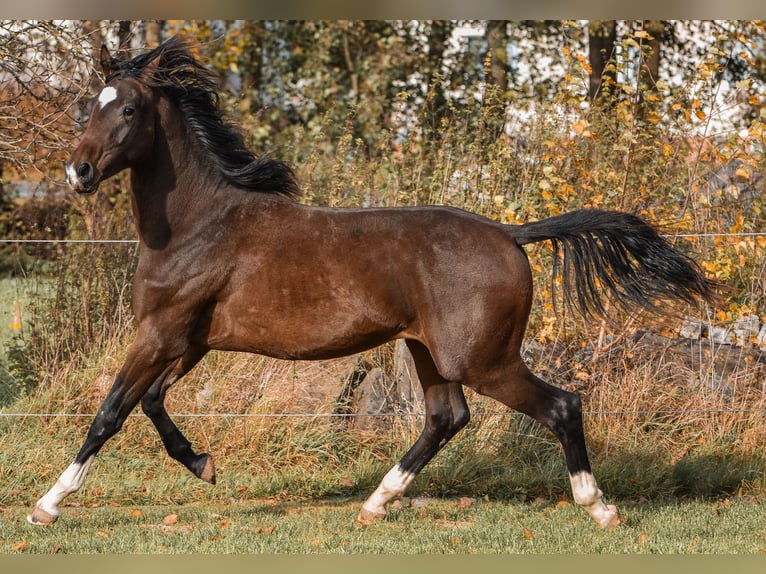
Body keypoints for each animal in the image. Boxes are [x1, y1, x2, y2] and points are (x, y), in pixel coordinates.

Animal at [28, 36, 718, 528]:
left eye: (129, 108)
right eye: (89, 105)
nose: (77, 172)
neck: (200, 224)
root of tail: (509, 233)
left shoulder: (161, 333)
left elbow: (110, 412)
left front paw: (48, 504)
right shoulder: (189, 340)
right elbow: (149, 402)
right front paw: (204, 465)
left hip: (483, 358)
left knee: (560, 406)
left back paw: (599, 508)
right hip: (430, 352)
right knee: (446, 417)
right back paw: (376, 503)